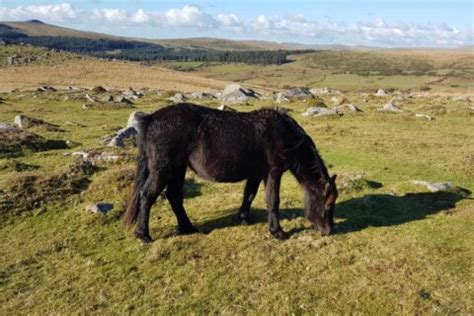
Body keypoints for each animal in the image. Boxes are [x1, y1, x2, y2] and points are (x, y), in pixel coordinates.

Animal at [122, 103, 336, 242]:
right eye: (327, 205)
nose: (328, 231)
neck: (283, 134)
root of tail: (151, 119)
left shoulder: (256, 173)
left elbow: (249, 195)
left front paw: (243, 218)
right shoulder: (273, 172)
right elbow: (273, 201)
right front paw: (278, 232)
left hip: (178, 168)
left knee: (174, 196)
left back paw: (188, 228)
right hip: (164, 169)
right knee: (147, 195)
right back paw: (143, 235)